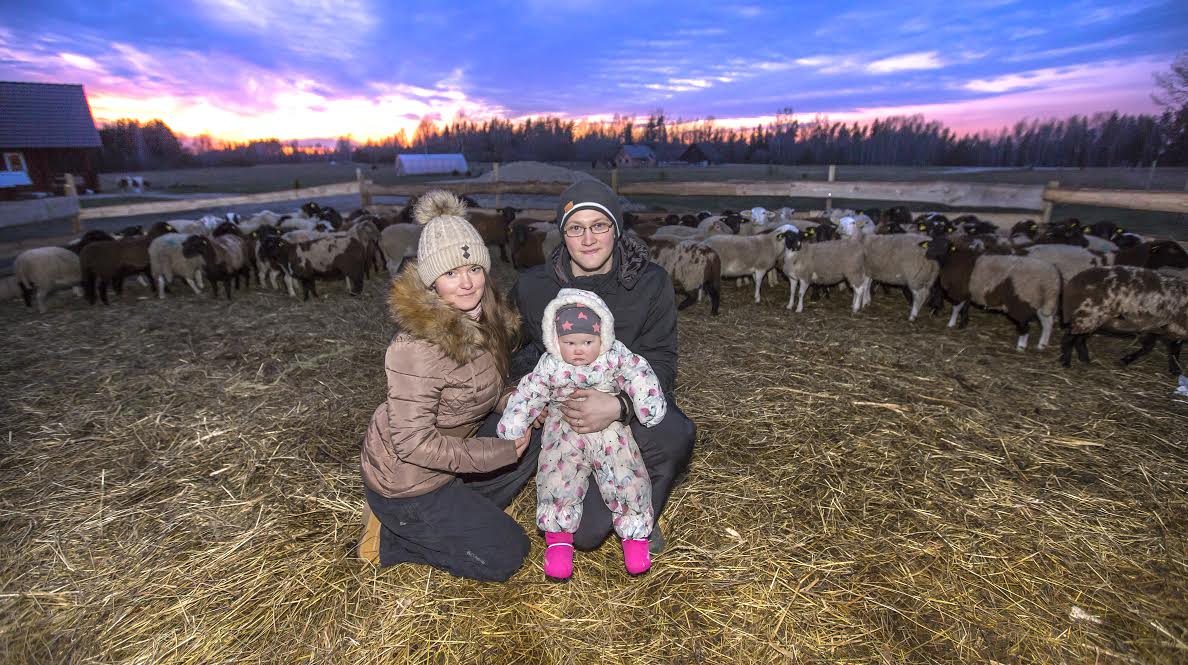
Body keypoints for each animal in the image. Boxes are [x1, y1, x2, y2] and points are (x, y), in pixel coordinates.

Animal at [921, 236, 1064, 351]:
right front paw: (962, 324)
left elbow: (956, 308)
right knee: (1047, 323)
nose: (928, 254)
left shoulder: (959, 290)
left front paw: (951, 323)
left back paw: (1021, 346)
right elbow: (964, 308)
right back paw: (1042, 345)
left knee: (1025, 327)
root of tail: (1052, 279)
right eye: (930, 244)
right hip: (1041, 302)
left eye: (944, 245)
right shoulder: (967, 291)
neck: (951, 259)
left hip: (1022, 300)